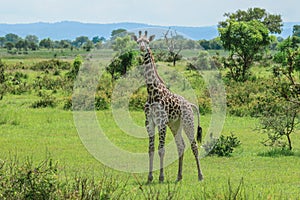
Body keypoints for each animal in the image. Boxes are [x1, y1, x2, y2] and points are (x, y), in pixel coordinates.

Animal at [132, 30, 203, 182]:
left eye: (147, 42)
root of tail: (190, 104)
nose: (142, 48)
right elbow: (151, 149)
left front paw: (161, 177)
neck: (152, 92)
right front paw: (150, 177)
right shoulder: (149, 122)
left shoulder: (161, 122)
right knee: (181, 146)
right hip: (175, 125)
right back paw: (179, 176)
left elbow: (161, 149)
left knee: (194, 146)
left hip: (188, 122)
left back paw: (200, 176)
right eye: (138, 41)